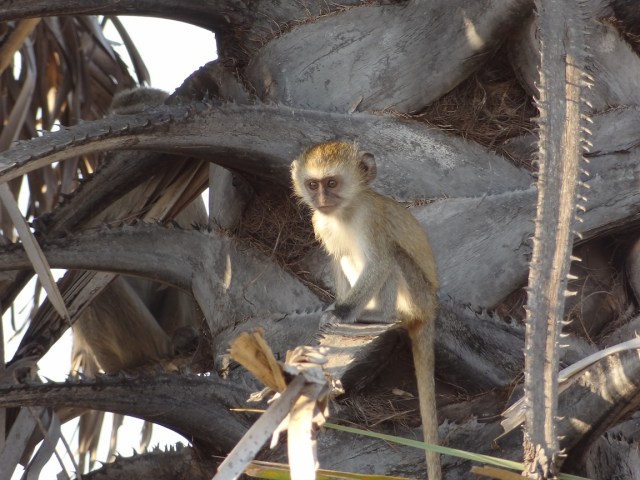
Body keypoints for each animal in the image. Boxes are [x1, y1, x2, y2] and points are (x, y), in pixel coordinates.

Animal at [291, 141, 441, 480]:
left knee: (392, 257)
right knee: (345, 255)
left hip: (417, 295)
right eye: (313, 184)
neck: (345, 212)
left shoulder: (371, 219)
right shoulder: (321, 222)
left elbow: (380, 262)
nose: (321, 200)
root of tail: (431, 309)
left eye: (332, 183)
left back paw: (376, 315)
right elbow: (336, 256)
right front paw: (335, 307)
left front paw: (342, 312)